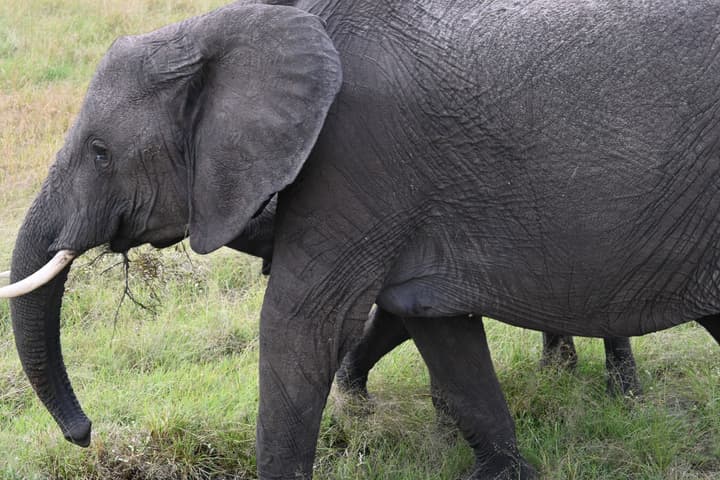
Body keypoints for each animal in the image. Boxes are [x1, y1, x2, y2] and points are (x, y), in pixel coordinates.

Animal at [5, 1, 720, 478]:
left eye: (100, 153)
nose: (84, 434)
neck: (227, 27)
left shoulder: (355, 159)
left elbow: (299, 327)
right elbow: (439, 330)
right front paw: (500, 472)